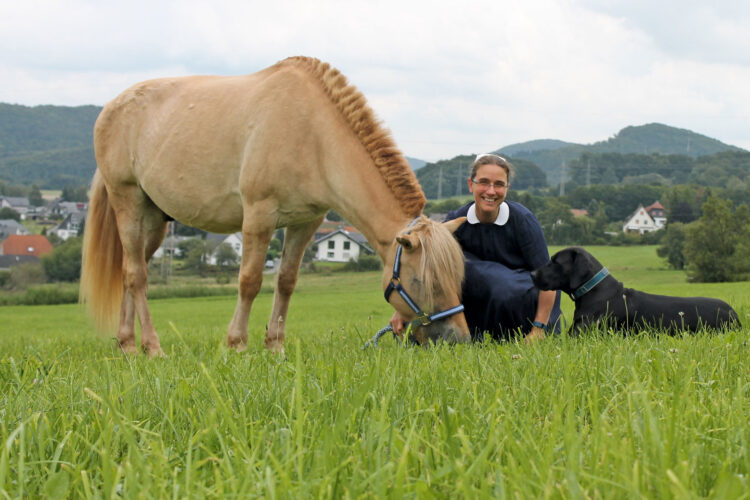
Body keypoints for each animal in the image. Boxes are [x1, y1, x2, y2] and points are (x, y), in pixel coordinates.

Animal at [81, 56, 470, 356]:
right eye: (422, 280)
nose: (459, 338)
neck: (313, 135)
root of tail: (111, 108)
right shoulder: (258, 216)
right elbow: (250, 281)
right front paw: (237, 345)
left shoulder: (306, 223)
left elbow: (286, 281)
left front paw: (275, 347)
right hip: (128, 202)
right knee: (137, 275)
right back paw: (152, 348)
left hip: (154, 220)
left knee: (130, 271)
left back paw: (128, 345)